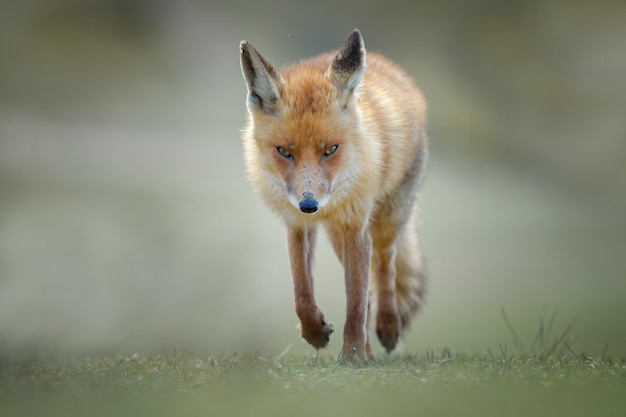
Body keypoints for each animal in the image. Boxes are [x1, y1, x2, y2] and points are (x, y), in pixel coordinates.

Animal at [240, 29, 428, 360]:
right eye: (284, 151)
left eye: (330, 149)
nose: (309, 205)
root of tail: (387, 64)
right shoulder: (296, 225)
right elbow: (302, 291)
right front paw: (315, 332)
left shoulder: (356, 226)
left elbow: (355, 301)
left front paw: (351, 354)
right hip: (336, 237)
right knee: (369, 291)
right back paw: (368, 350)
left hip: (386, 221)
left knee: (386, 267)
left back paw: (387, 327)